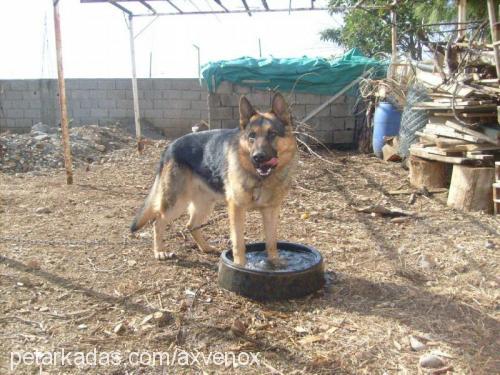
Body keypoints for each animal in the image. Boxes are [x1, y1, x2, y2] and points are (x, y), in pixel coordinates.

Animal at [131, 92, 298, 266]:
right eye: (252, 136)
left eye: (272, 134)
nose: (258, 157)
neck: (260, 179)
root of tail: (170, 147)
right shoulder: (236, 209)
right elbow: (239, 243)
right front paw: (239, 266)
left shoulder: (271, 211)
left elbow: (272, 242)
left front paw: (275, 263)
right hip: (177, 203)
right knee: (158, 222)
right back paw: (160, 251)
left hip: (205, 203)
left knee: (191, 225)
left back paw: (205, 248)